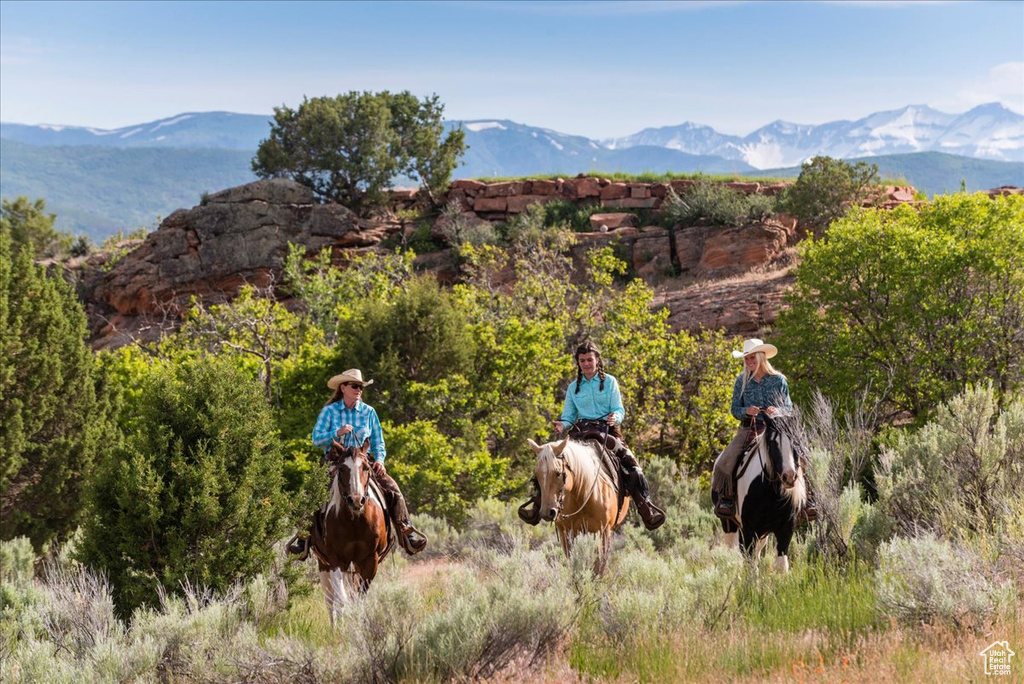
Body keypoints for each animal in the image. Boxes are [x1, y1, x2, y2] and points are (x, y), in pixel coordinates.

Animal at [307, 438, 391, 626]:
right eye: (342, 469)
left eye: (366, 467)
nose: (356, 500)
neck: (355, 522)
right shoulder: (336, 560)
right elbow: (341, 600)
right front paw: (342, 630)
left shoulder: (369, 560)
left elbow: (359, 599)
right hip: (324, 564)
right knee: (330, 601)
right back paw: (334, 628)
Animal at [528, 438, 630, 573]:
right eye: (537, 475)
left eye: (558, 473)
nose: (547, 512)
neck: (584, 496)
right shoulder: (567, 534)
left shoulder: (603, 531)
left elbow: (599, 565)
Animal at [712, 417, 806, 573]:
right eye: (773, 442)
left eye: (796, 441)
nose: (789, 477)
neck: (772, 495)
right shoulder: (749, 529)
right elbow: (750, 563)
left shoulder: (786, 528)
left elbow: (781, 564)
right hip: (729, 523)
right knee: (733, 552)